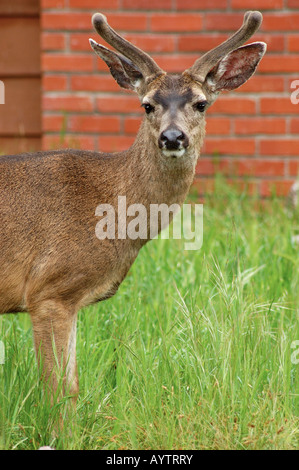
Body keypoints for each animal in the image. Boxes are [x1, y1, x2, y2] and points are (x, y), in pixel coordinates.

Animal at [0, 10, 268, 400]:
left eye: (201, 103)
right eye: (147, 105)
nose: (172, 137)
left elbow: (72, 384)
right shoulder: (49, 289)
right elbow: (60, 392)